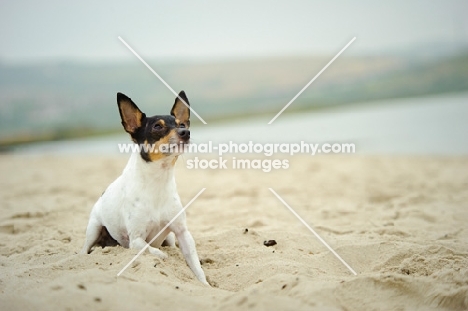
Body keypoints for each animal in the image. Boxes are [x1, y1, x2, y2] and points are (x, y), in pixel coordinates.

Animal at [80, 90, 208, 286]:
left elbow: (196, 266)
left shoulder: (182, 233)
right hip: (93, 229)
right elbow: (153, 251)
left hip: (170, 237)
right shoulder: (136, 240)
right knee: (85, 248)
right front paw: (163, 257)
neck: (158, 181)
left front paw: (205, 284)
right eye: (157, 126)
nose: (186, 132)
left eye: (182, 124)